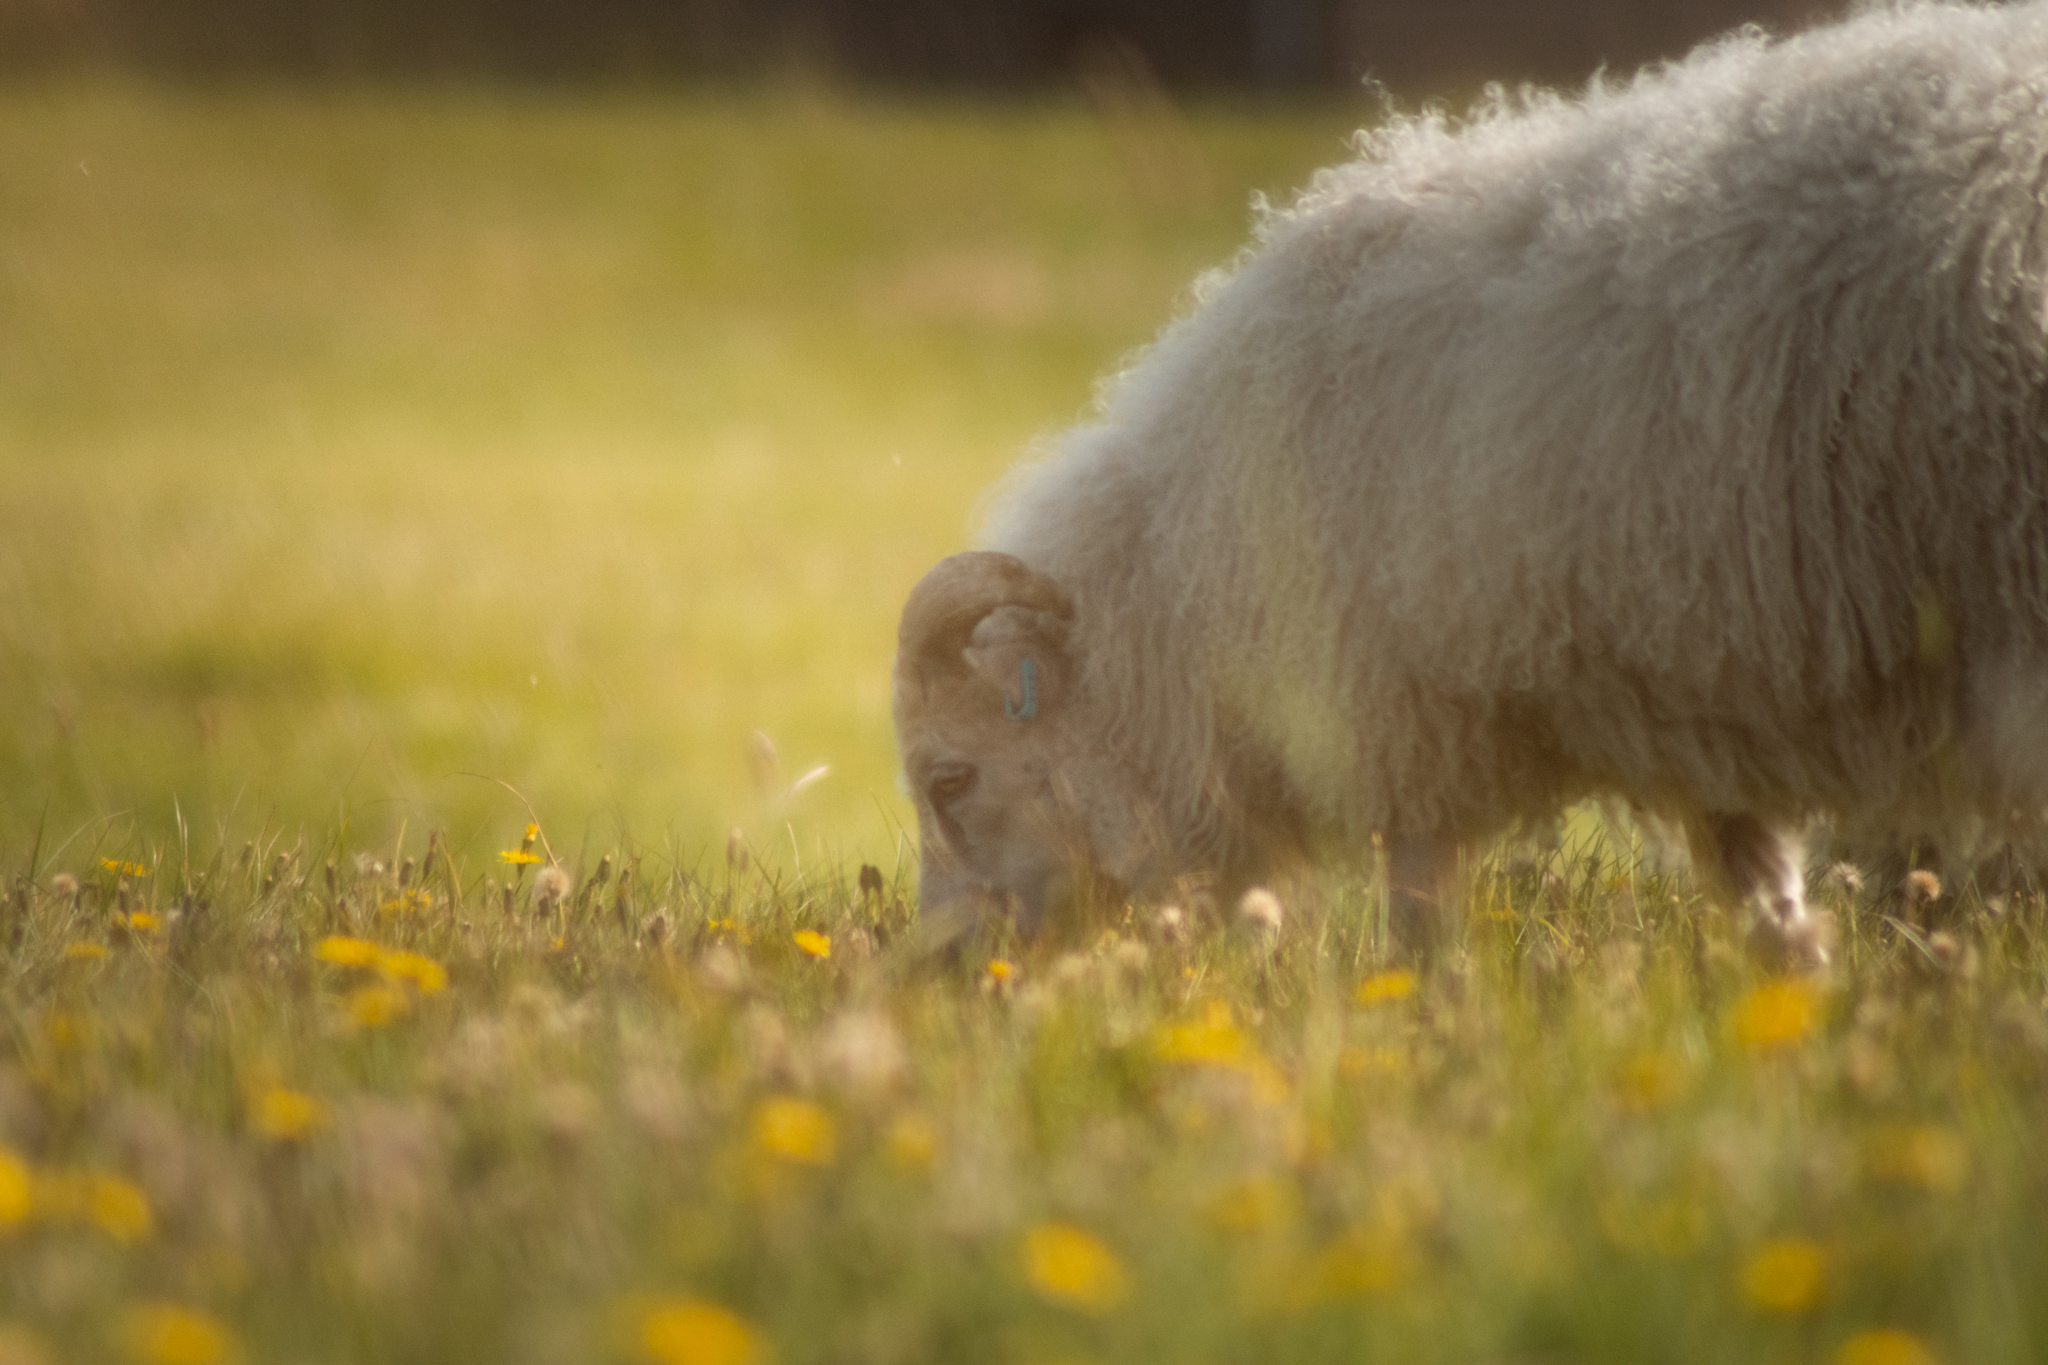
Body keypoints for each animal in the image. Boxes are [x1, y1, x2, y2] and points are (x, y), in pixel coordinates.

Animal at [892, 0, 2048, 966]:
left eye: (950, 778)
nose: (939, 967)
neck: (1200, 560)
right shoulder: (1704, 699)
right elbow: (1768, 907)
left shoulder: (1399, 717)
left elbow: (1415, 919)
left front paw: (1420, 1019)